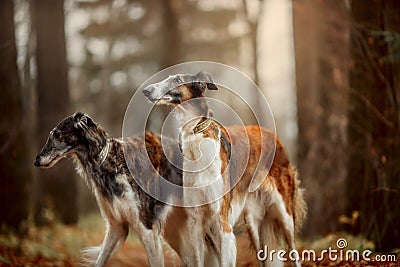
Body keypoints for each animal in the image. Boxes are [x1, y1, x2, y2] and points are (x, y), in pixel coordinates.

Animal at [34, 113, 189, 267]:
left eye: (56, 135)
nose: (36, 162)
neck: (109, 161)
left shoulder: (147, 228)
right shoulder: (116, 225)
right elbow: (100, 260)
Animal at [144, 72, 306, 266]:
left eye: (177, 80)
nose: (146, 90)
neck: (196, 135)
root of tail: (273, 135)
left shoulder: (223, 224)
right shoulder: (196, 223)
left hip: (284, 213)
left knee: (294, 251)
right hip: (253, 220)